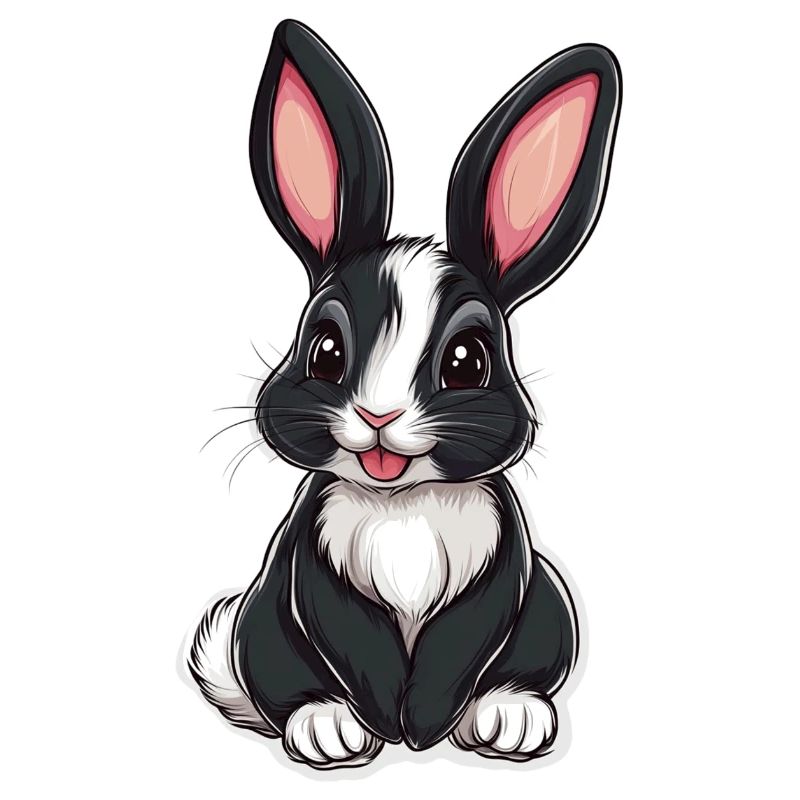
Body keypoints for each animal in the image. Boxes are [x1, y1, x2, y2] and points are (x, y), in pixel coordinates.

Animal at [188, 19, 621, 770]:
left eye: (467, 361)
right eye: (325, 351)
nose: (378, 414)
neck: (401, 505)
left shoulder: (501, 573)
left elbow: (460, 643)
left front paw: (424, 729)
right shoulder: (314, 572)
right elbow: (355, 640)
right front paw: (385, 732)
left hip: (549, 607)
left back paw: (509, 718)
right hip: (259, 630)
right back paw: (326, 728)